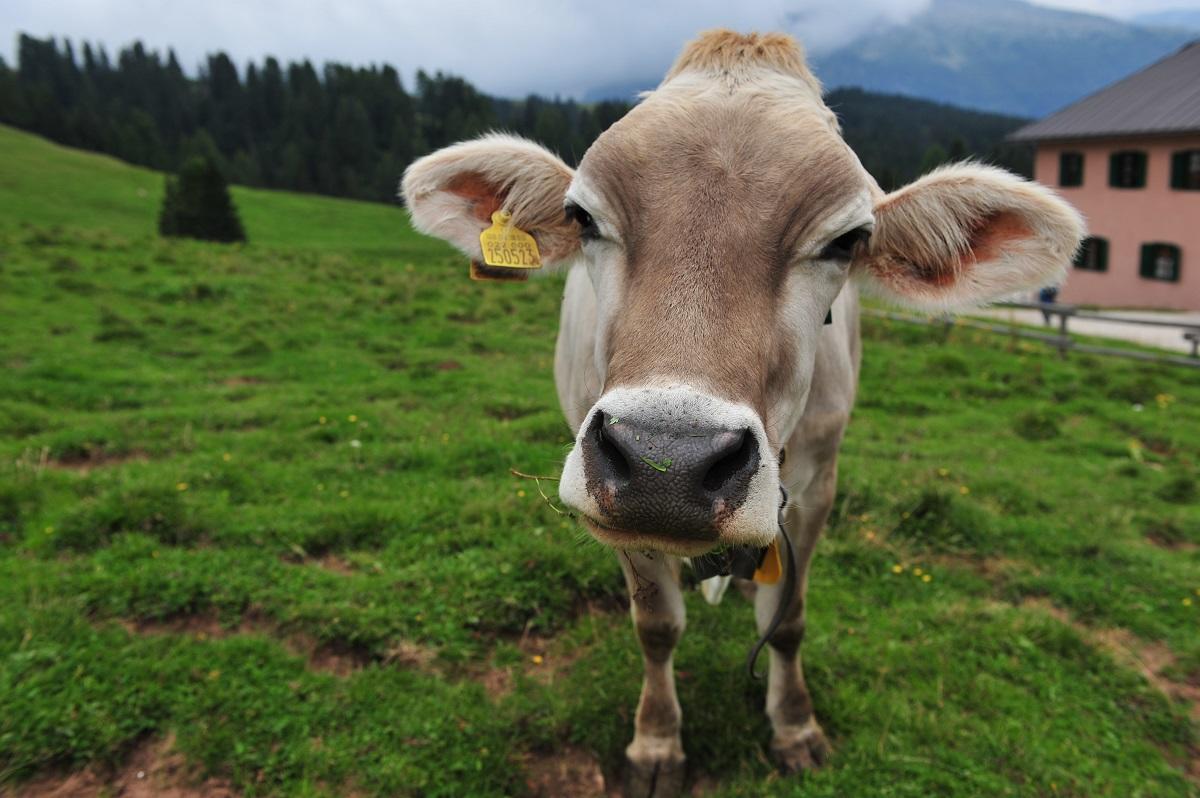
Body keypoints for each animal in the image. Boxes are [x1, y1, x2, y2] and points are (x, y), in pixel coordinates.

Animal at [400, 28, 1080, 792]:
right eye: (583, 218)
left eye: (846, 240)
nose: (666, 463)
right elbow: (656, 627)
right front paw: (656, 745)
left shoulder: (817, 486)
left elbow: (787, 620)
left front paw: (795, 727)